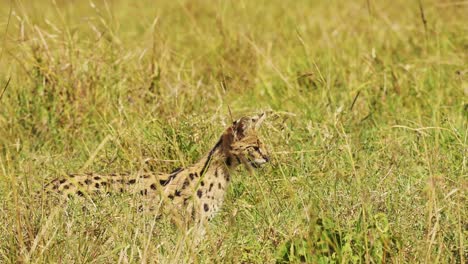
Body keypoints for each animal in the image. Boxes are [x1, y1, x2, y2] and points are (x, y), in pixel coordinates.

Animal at [44, 112, 270, 228]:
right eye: (255, 146)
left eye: (262, 144)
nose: (268, 157)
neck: (219, 169)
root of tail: (46, 187)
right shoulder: (192, 228)